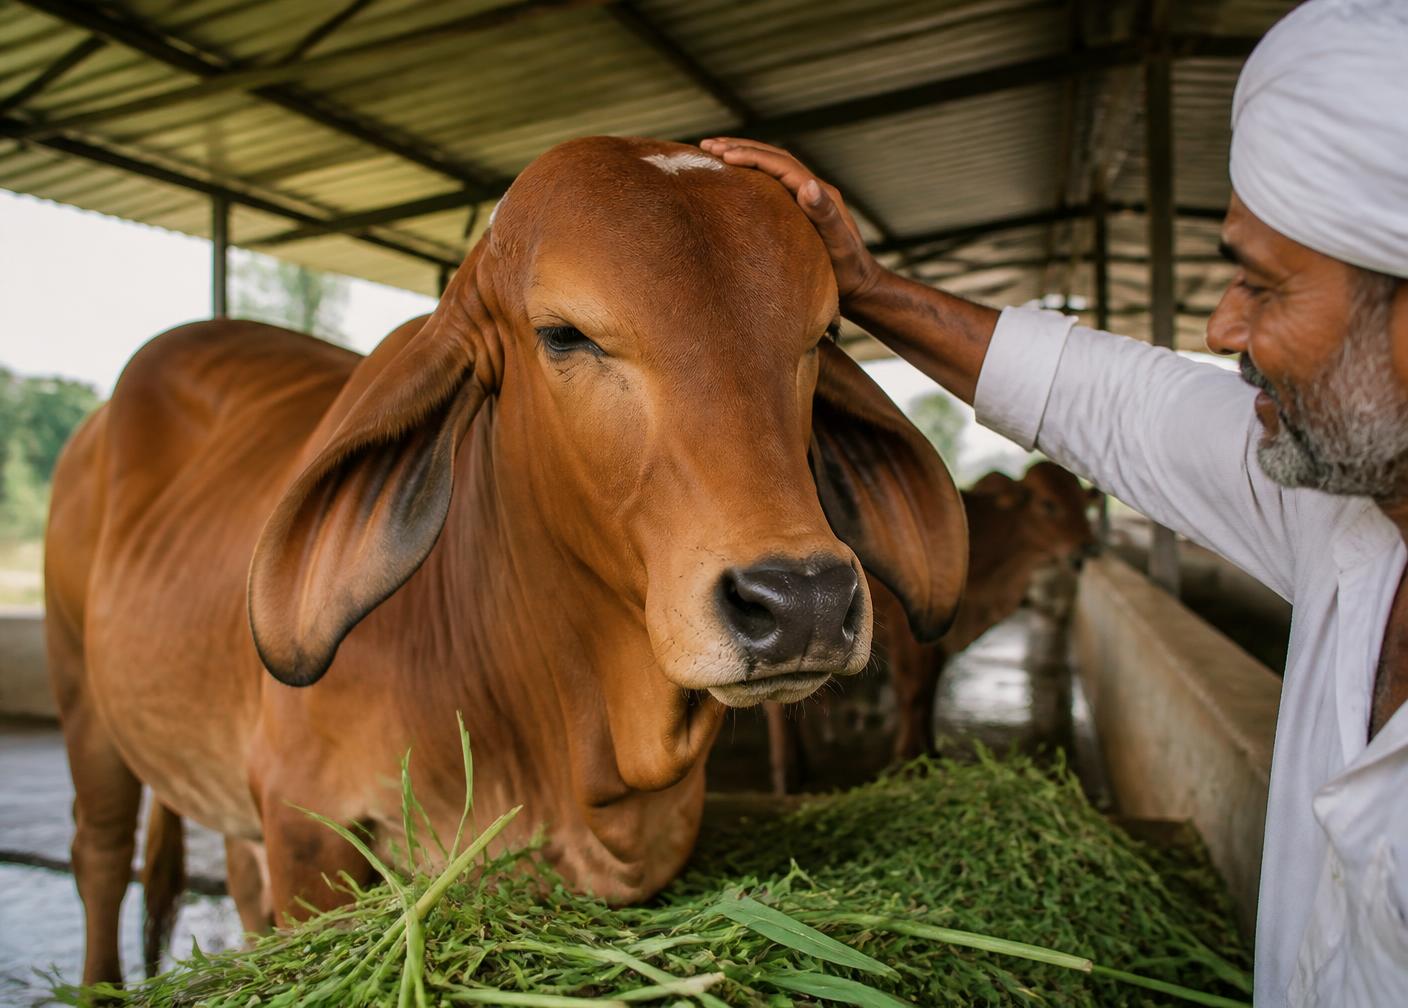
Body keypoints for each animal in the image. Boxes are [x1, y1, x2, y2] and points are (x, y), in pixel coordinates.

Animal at [44, 136, 968, 985]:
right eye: (563, 335)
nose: (804, 601)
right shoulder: (308, 826)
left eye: (822, 333)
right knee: (100, 856)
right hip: (82, 694)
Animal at [765, 461, 1097, 792]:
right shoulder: (907, 631)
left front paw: (931, 755)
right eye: (1048, 504)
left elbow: (929, 691)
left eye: (1083, 503)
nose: (1086, 550)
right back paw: (788, 772)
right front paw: (908, 760)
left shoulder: (939, 639)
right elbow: (913, 692)